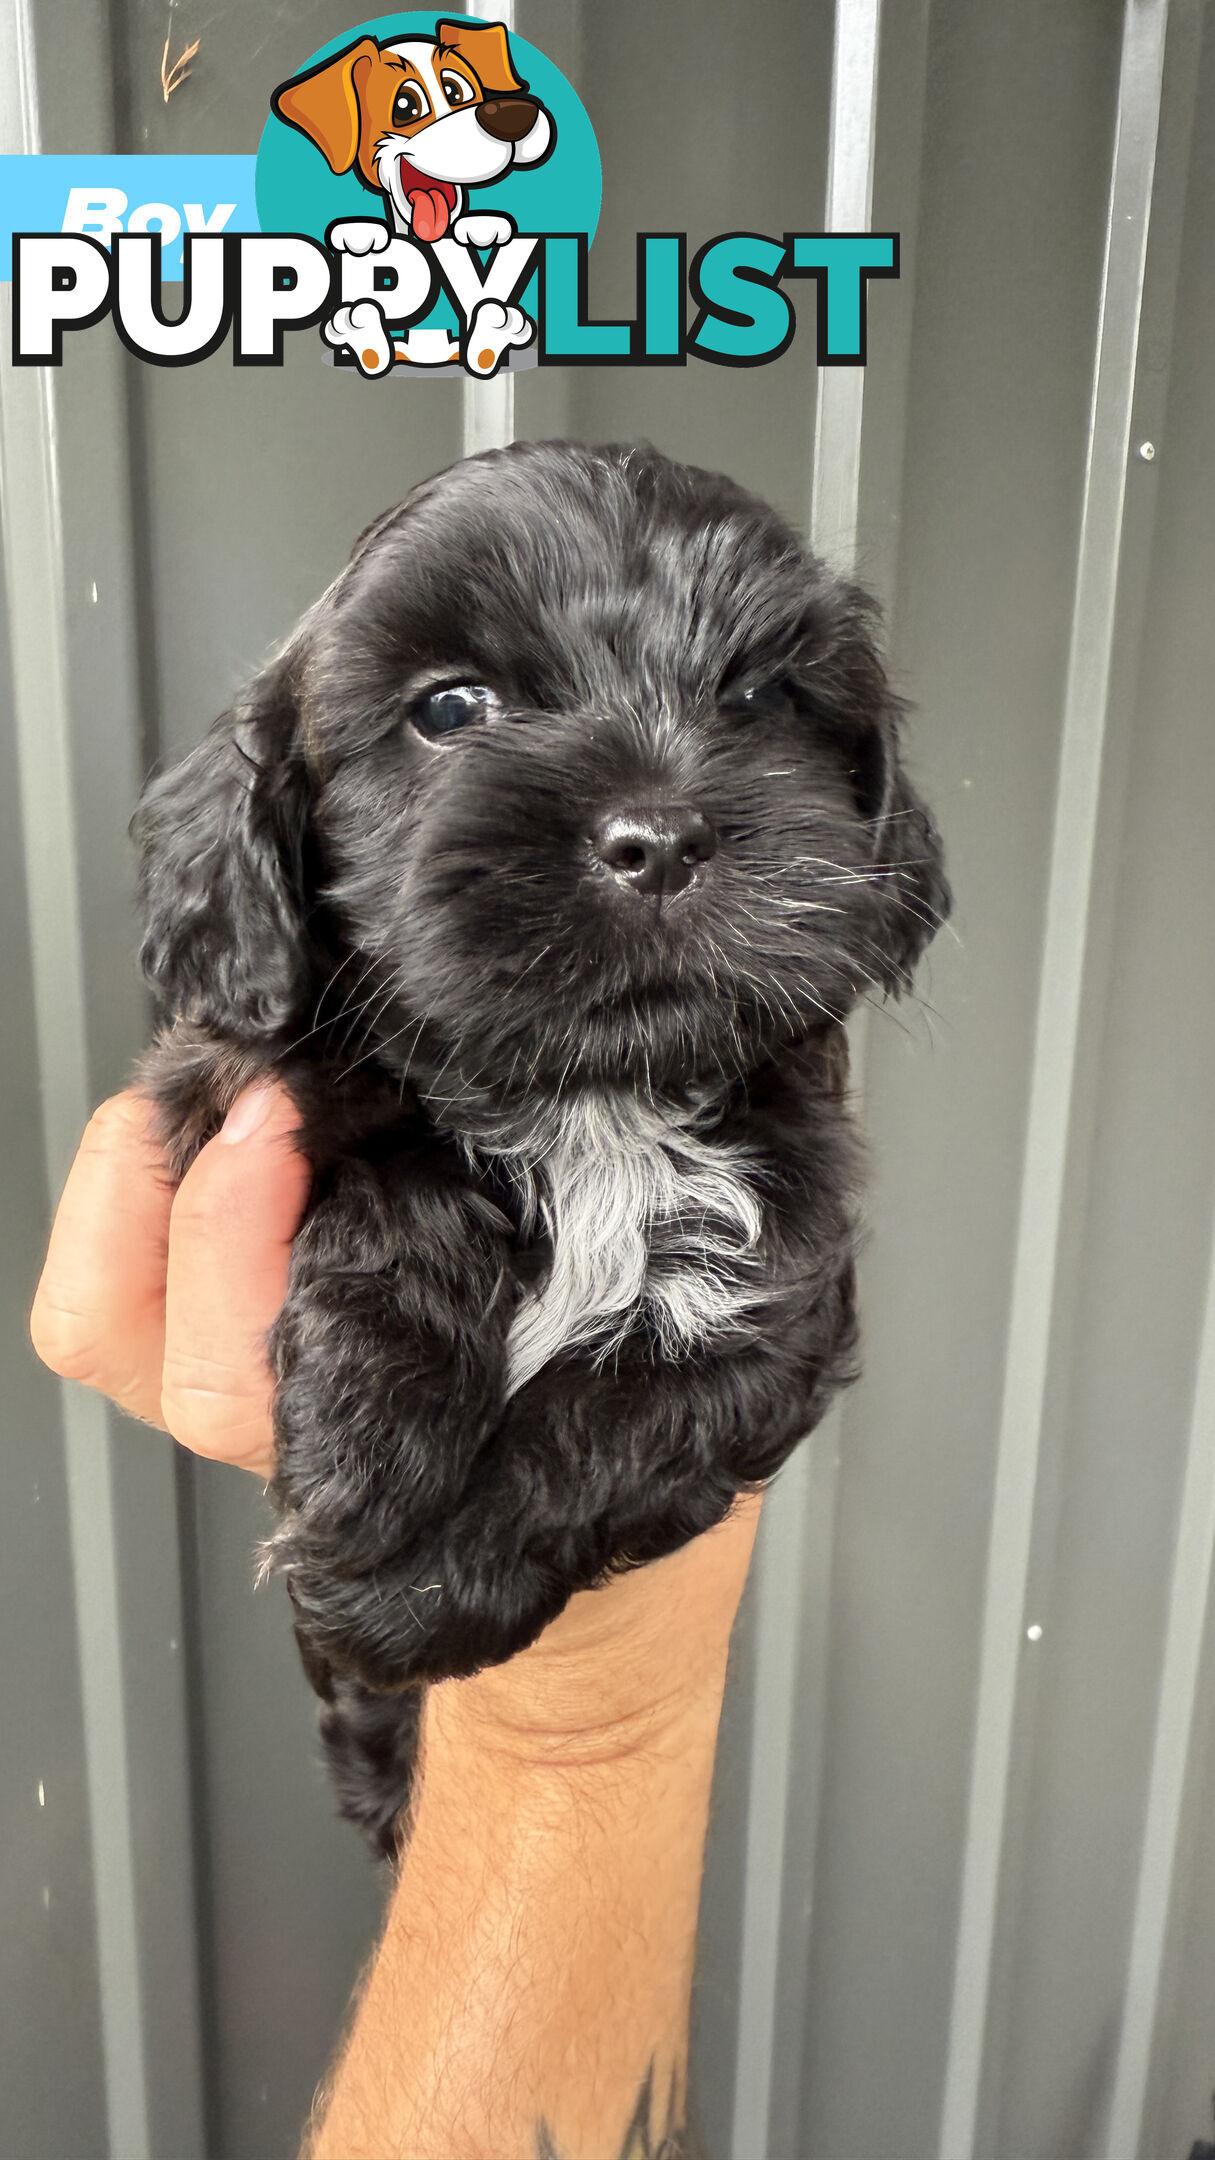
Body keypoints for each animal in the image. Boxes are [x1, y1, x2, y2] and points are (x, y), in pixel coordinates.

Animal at [132, 442, 946, 1857]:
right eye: (452, 708)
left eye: (759, 696)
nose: (660, 836)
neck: (594, 1102)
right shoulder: (224, 1092)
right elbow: (395, 1169)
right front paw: (364, 1440)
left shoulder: (787, 1286)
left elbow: (627, 1414)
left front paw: (406, 1593)